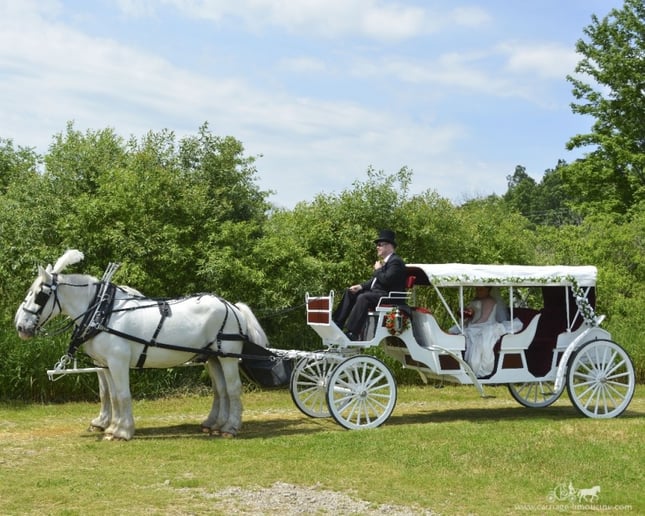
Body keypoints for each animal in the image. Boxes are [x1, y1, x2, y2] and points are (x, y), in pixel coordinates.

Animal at [14, 249, 269, 440]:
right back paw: (214, 424)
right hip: (212, 357)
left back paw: (230, 428)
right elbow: (111, 395)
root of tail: (232, 307)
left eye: (39, 295)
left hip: (227, 357)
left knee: (233, 388)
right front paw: (111, 427)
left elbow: (122, 395)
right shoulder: (105, 364)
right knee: (221, 390)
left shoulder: (117, 362)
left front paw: (122, 431)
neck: (102, 312)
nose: (20, 326)